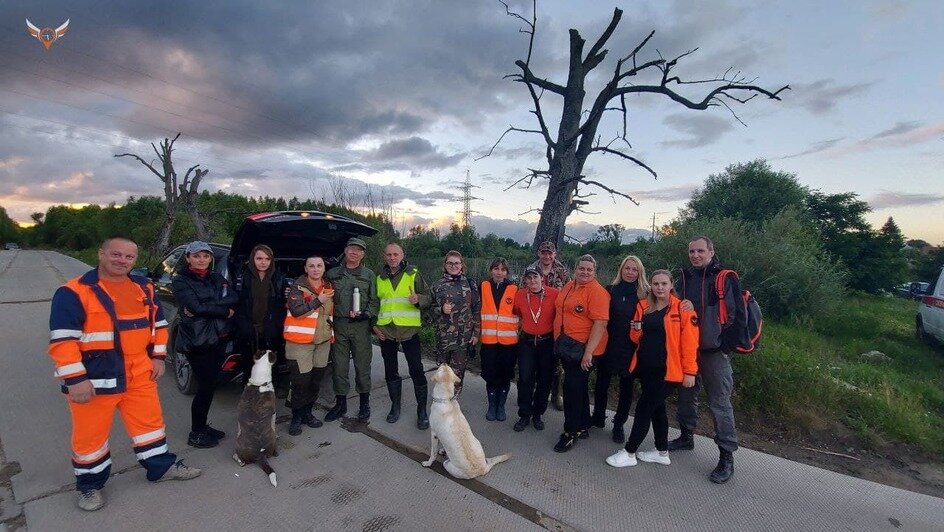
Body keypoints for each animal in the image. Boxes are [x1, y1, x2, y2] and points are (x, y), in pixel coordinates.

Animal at [232, 350, 276, 486]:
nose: (271, 350)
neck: (259, 383)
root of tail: (260, 453)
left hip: (239, 443)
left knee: (243, 461)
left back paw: (237, 458)